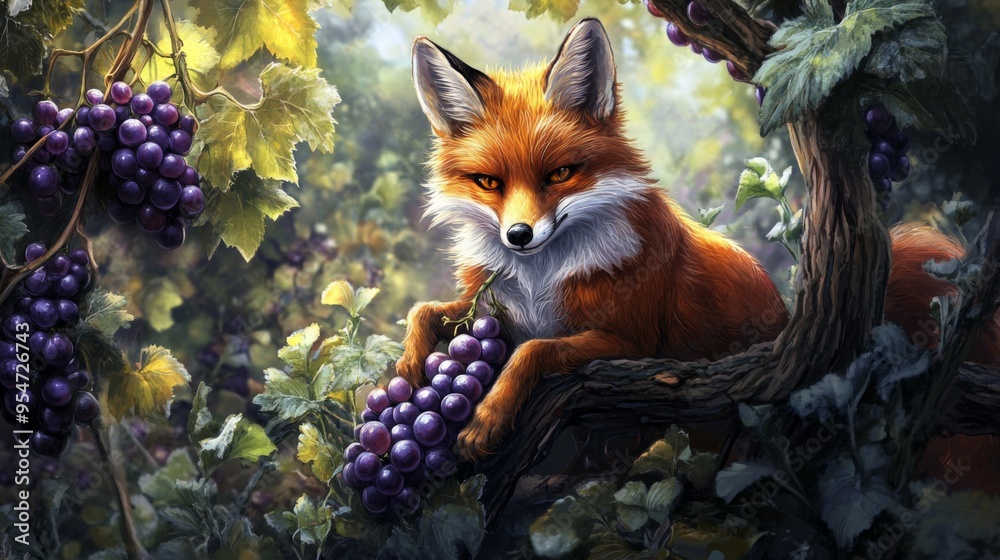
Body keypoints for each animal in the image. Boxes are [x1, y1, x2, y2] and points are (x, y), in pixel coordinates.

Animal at [396, 18, 1000, 462]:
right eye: (489, 183)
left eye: (560, 174)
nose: (519, 236)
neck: (540, 277)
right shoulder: (498, 309)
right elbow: (426, 311)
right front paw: (407, 369)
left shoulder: (632, 340)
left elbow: (532, 351)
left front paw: (486, 419)